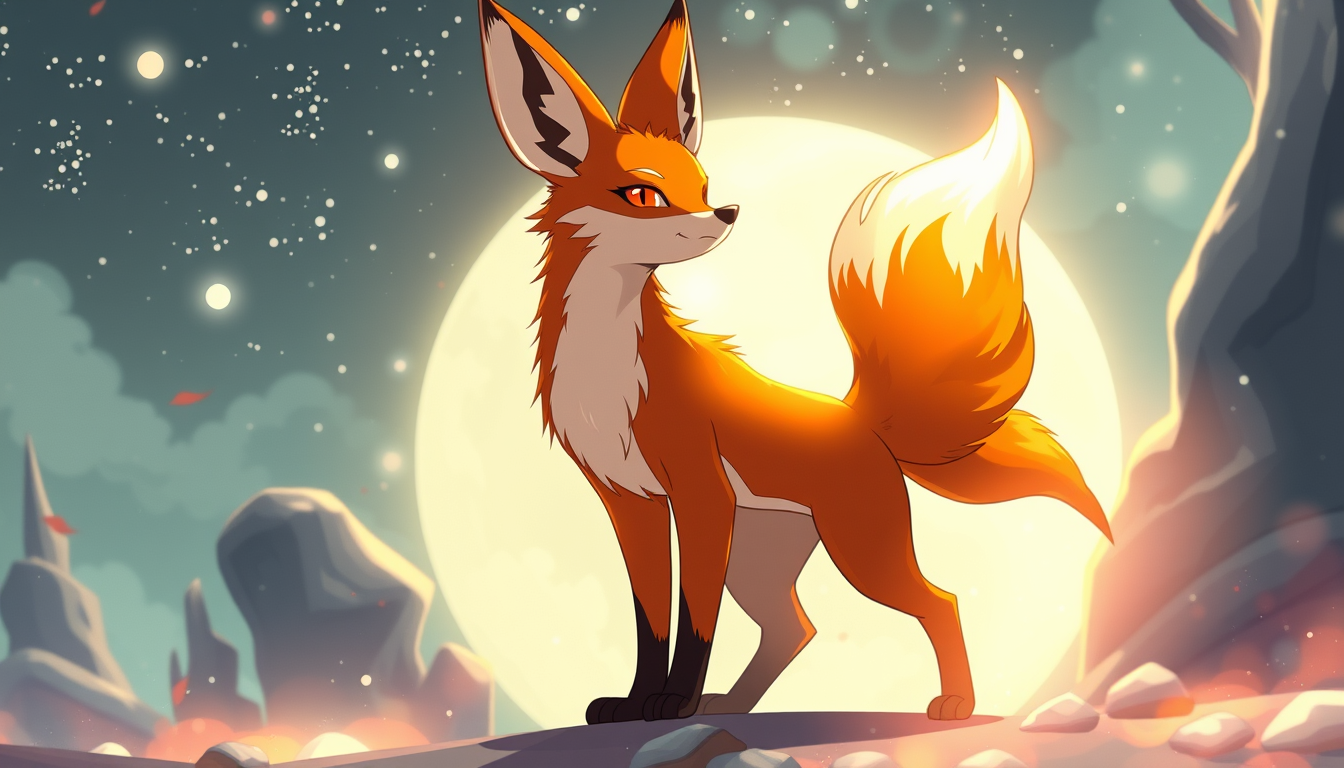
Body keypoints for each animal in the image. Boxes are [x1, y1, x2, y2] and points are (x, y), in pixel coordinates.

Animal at [477, 0, 1112, 724]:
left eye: (703, 184)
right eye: (643, 195)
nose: (726, 211)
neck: (606, 370)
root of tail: (859, 420)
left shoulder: (700, 493)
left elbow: (694, 621)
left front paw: (674, 703)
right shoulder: (629, 502)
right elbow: (652, 621)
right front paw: (637, 703)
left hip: (858, 551)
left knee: (938, 602)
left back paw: (954, 701)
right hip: (763, 559)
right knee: (796, 627)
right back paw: (733, 706)